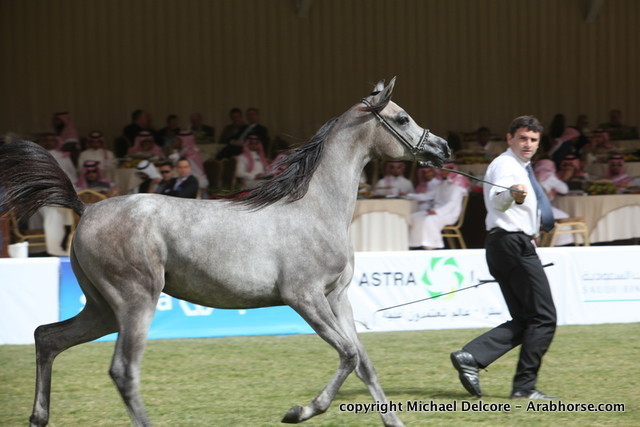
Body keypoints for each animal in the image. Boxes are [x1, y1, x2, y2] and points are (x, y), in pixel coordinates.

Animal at [0, 78, 450, 427]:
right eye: (402, 118)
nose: (443, 148)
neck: (314, 207)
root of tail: (88, 208)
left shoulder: (337, 298)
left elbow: (364, 362)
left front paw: (393, 421)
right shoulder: (303, 297)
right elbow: (348, 353)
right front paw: (299, 411)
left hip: (102, 310)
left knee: (47, 338)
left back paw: (38, 418)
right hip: (134, 302)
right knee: (123, 371)